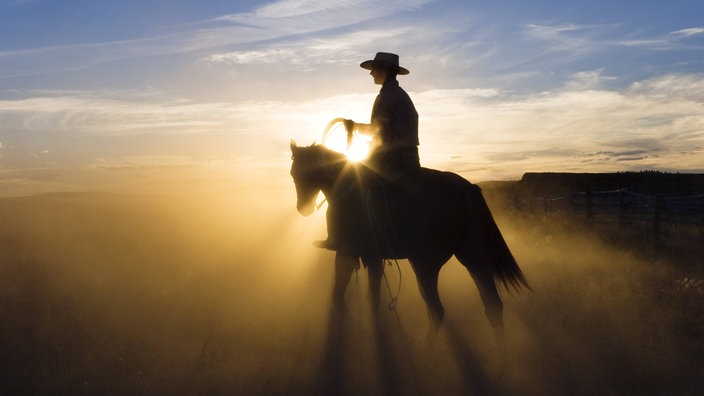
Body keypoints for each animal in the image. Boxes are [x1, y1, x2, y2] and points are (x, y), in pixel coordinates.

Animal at [288, 140, 528, 356]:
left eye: (305, 173)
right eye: (293, 174)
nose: (303, 209)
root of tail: (466, 190)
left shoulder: (348, 252)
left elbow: (341, 291)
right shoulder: (372, 257)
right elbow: (372, 296)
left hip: (425, 265)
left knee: (436, 310)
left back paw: (425, 352)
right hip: (473, 258)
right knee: (492, 305)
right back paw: (503, 361)